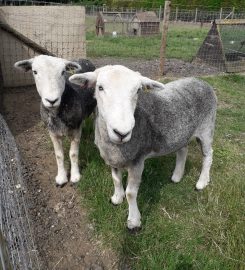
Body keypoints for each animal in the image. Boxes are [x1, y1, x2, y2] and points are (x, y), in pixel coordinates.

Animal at [13, 54, 96, 186]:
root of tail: (84, 58)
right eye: (35, 71)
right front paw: (61, 177)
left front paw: (75, 177)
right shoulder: (52, 132)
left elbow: (73, 154)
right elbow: (59, 155)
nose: (51, 100)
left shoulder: (76, 129)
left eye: (63, 72)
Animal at [69, 66, 216, 232]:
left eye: (138, 90)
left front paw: (134, 221)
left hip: (207, 128)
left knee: (208, 155)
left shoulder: (137, 161)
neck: (115, 146)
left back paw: (202, 182)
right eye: (100, 87)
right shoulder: (113, 158)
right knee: (182, 150)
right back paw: (177, 176)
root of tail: (201, 81)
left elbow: (131, 193)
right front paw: (116, 198)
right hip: (182, 132)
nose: (122, 133)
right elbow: (116, 179)